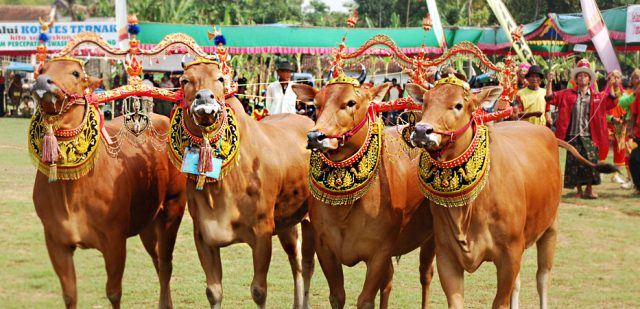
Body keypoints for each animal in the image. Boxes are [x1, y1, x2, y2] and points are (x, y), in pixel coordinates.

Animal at [31, 59, 186, 306]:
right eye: (42, 69)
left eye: (76, 73)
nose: (42, 82)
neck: (71, 191)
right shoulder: (56, 240)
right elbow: (69, 294)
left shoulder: (114, 239)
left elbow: (113, 292)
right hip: (147, 221)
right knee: (158, 260)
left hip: (173, 208)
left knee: (165, 263)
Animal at [176, 60, 316, 308]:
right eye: (185, 80)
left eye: (220, 78)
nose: (204, 97)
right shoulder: (202, 235)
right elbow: (213, 292)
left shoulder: (262, 232)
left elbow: (258, 291)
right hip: (287, 222)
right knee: (296, 261)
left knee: (307, 265)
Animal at [294, 75, 436, 308]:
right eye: (317, 103)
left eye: (351, 102)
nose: (315, 136)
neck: (345, 209)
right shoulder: (324, 248)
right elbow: (337, 296)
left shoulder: (380, 252)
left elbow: (366, 300)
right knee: (389, 282)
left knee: (426, 275)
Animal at [404, 80, 560, 308]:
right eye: (424, 101)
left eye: (458, 105)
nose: (422, 131)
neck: (469, 207)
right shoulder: (446, 256)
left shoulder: (510, 254)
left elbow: (501, 301)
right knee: (519, 284)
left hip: (550, 229)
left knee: (543, 279)